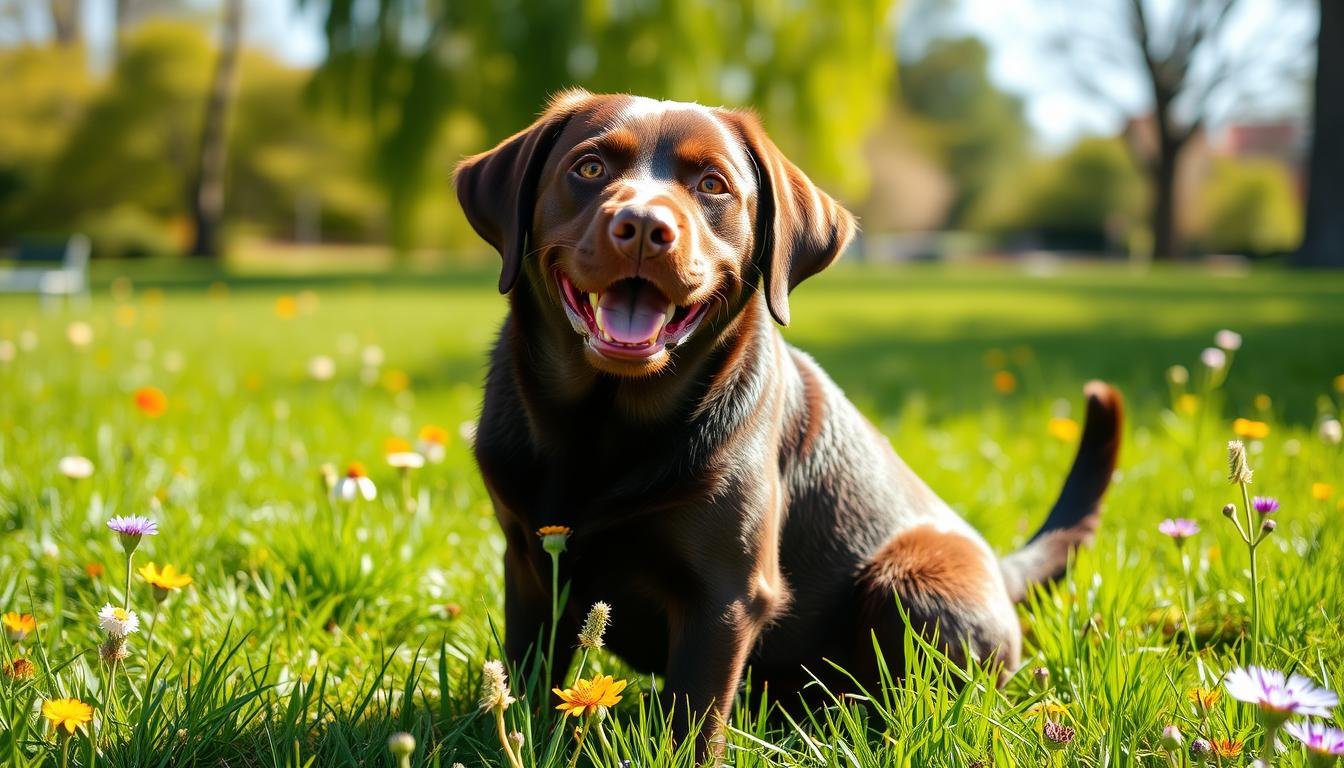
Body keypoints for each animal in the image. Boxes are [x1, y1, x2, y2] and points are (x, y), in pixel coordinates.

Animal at [454, 90, 1123, 747]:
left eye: (713, 184)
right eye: (589, 168)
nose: (644, 226)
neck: (603, 426)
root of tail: (1000, 572)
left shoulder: (726, 592)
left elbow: (694, 717)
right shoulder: (530, 565)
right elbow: (527, 678)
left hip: (912, 581)